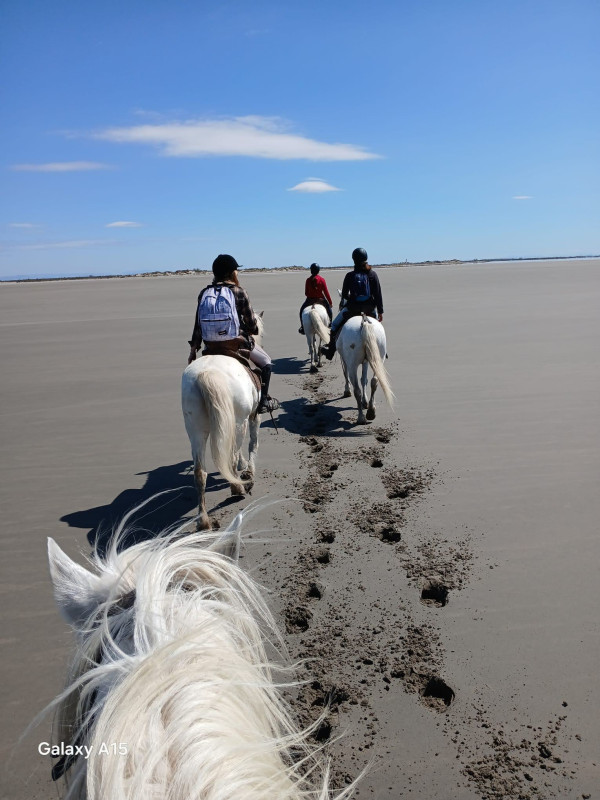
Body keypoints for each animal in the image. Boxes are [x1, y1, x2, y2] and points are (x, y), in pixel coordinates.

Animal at [182, 316, 264, 528]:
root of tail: (206, 374)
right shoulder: (253, 416)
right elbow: (253, 444)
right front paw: (249, 473)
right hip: (238, 422)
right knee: (232, 456)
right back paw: (238, 489)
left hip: (195, 430)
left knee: (200, 472)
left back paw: (203, 521)